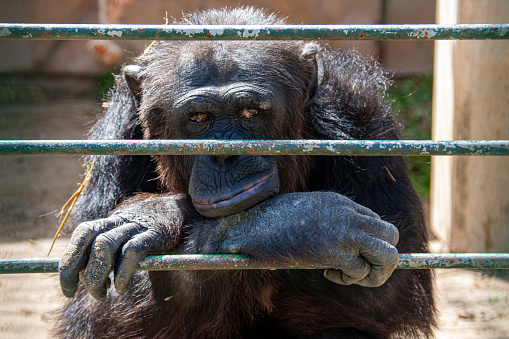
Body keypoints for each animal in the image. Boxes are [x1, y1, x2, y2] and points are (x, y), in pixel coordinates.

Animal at [57, 5, 434, 339]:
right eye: (199, 118)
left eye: (250, 112)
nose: (226, 155)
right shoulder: (118, 135)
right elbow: (98, 306)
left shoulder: (362, 118)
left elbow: (385, 290)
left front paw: (301, 224)